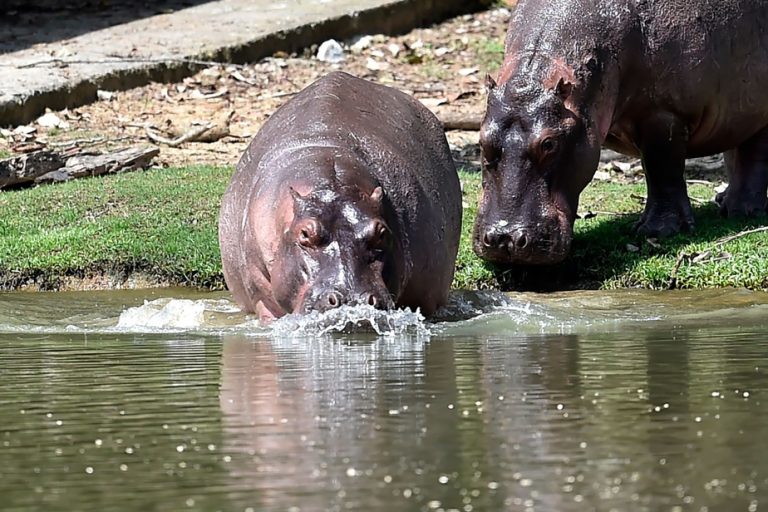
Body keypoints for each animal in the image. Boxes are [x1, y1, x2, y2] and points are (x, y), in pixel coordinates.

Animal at [474, 0, 768, 264]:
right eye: (482, 141)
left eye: (548, 143)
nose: (504, 239)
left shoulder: (663, 114)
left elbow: (663, 170)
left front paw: (657, 231)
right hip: (738, 111)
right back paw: (724, 201)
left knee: (754, 155)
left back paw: (742, 212)